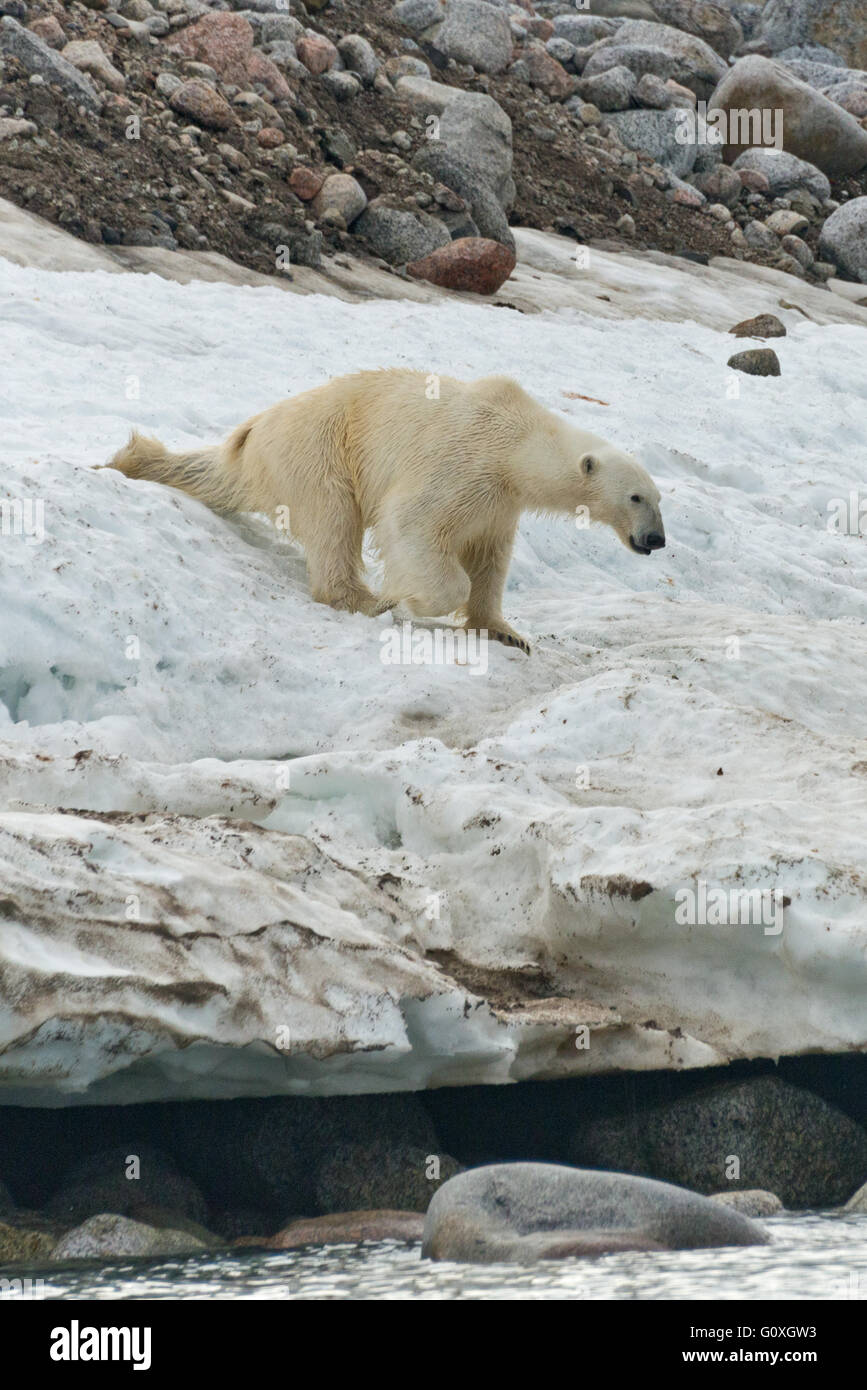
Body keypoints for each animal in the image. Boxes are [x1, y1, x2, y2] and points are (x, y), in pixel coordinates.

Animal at [108, 366, 664, 653]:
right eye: (636, 497)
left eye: (659, 500)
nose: (656, 540)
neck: (517, 440)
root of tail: (252, 432)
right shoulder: (464, 464)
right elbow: (413, 522)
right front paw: (408, 598)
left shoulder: (499, 503)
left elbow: (490, 559)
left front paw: (506, 632)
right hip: (321, 445)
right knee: (334, 517)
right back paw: (363, 598)